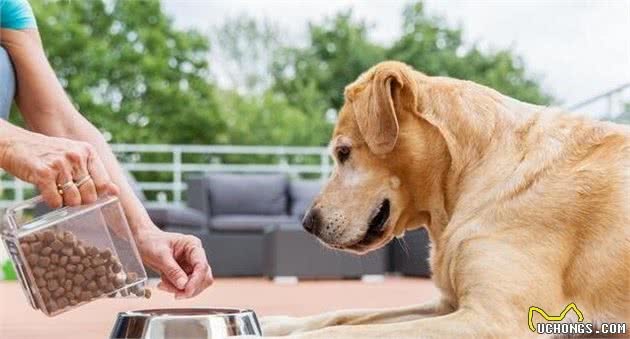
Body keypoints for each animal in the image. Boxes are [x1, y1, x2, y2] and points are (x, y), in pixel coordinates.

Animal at [262, 61, 630, 339]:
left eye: (342, 152)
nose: (308, 222)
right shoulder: (447, 305)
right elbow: (343, 315)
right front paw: (274, 322)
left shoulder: (496, 319)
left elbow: (342, 331)